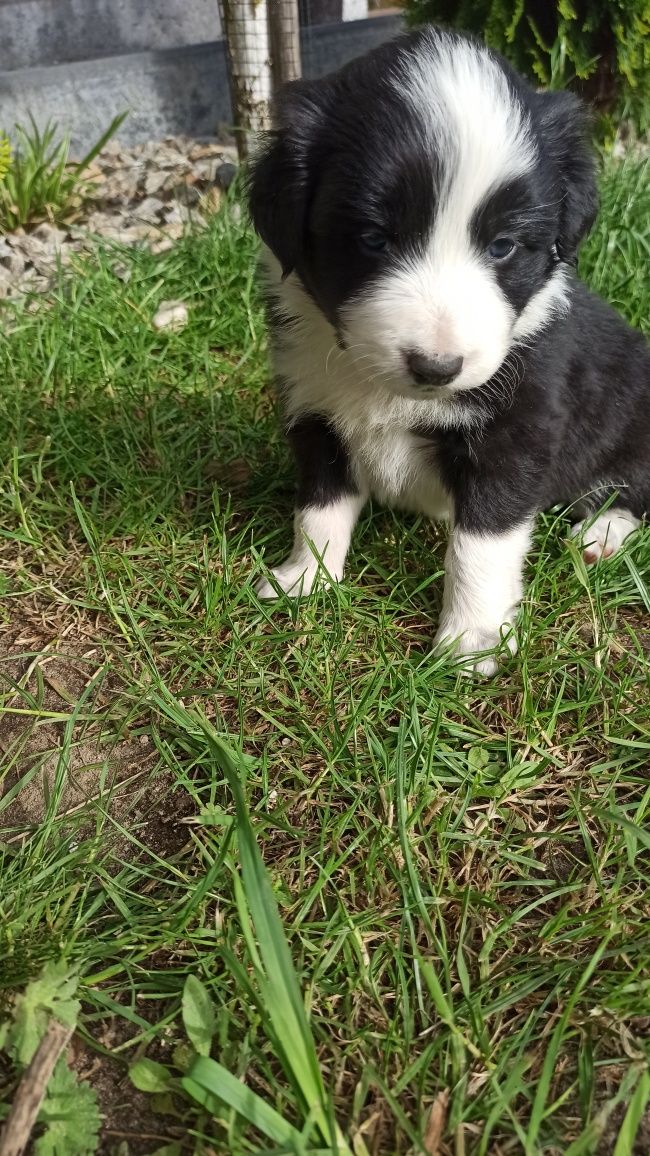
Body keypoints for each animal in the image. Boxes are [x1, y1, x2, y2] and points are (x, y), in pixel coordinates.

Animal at [245, 24, 643, 675]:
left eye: (504, 245)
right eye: (373, 239)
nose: (437, 368)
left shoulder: (516, 431)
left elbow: (482, 544)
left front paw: (469, 642)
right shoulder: (315, 408)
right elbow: (320, 504)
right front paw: (304, 579)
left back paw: (600, 535)